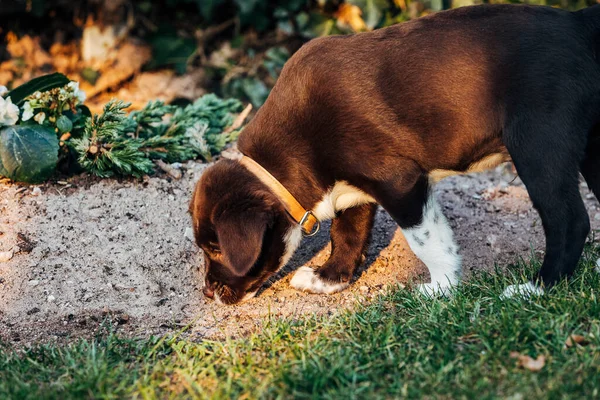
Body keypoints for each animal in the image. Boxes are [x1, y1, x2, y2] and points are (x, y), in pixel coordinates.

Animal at [190, 3, 600, 304]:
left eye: (217, 248)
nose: (208, 293)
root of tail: (580, 23)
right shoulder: (355, 188)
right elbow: (347, 233)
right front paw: (329, 279)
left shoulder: (400, 182)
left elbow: (428, 241)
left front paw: (440, 288)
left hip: (537, 143)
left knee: (570, 221)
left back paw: (536, 289)